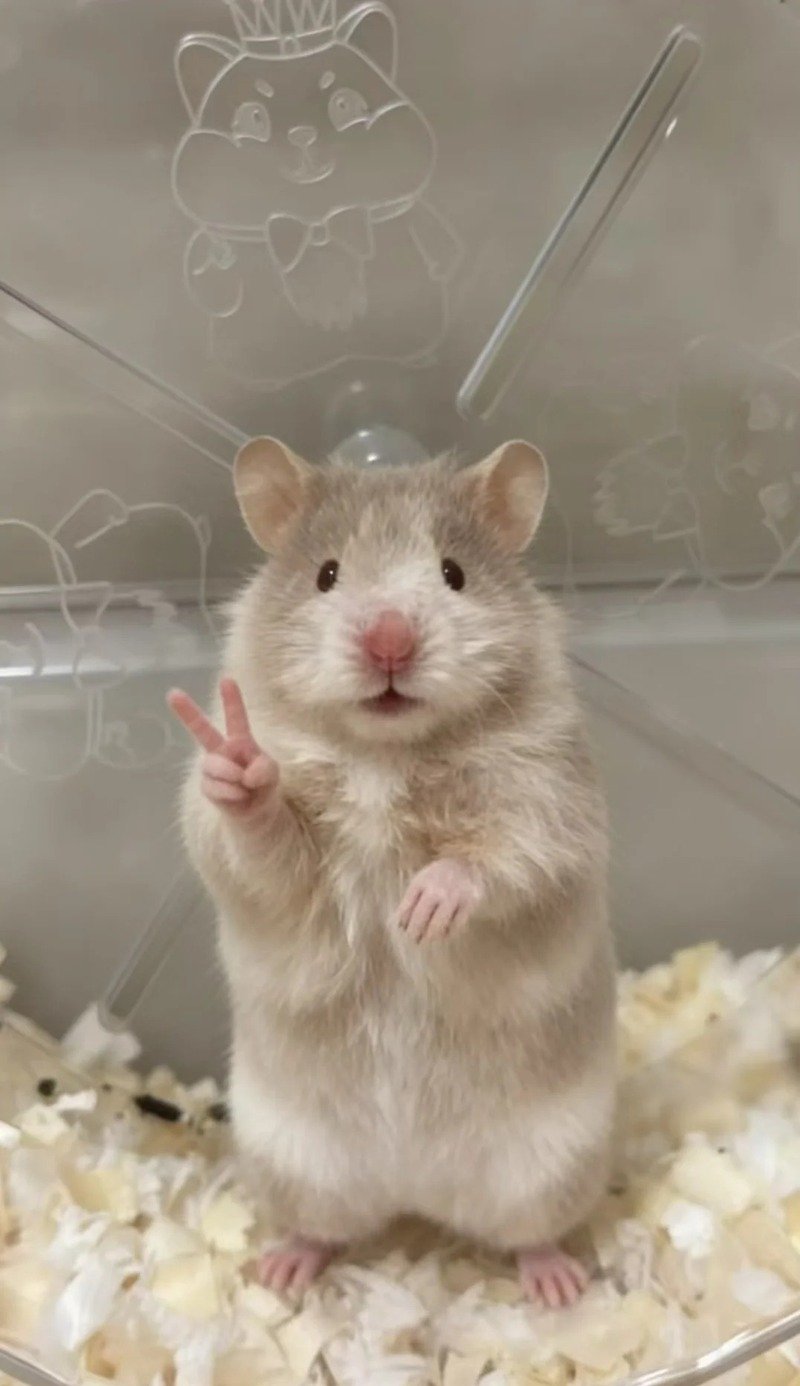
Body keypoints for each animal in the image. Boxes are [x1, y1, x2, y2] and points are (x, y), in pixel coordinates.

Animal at [169, 438, 616, 1308]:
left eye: (454, 573)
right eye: (326, 574)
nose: (388, 642)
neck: (384, 752)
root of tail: (413, 1190)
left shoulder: (549, 808)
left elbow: (497, 862)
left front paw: (421, 908)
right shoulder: (263, 855)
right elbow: (261, 843)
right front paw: (240, 768)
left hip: (551, 1167)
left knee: (529, 1234)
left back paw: (558, 1287)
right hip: (293, 1161)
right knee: (322, 1228)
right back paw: (281, 1272)